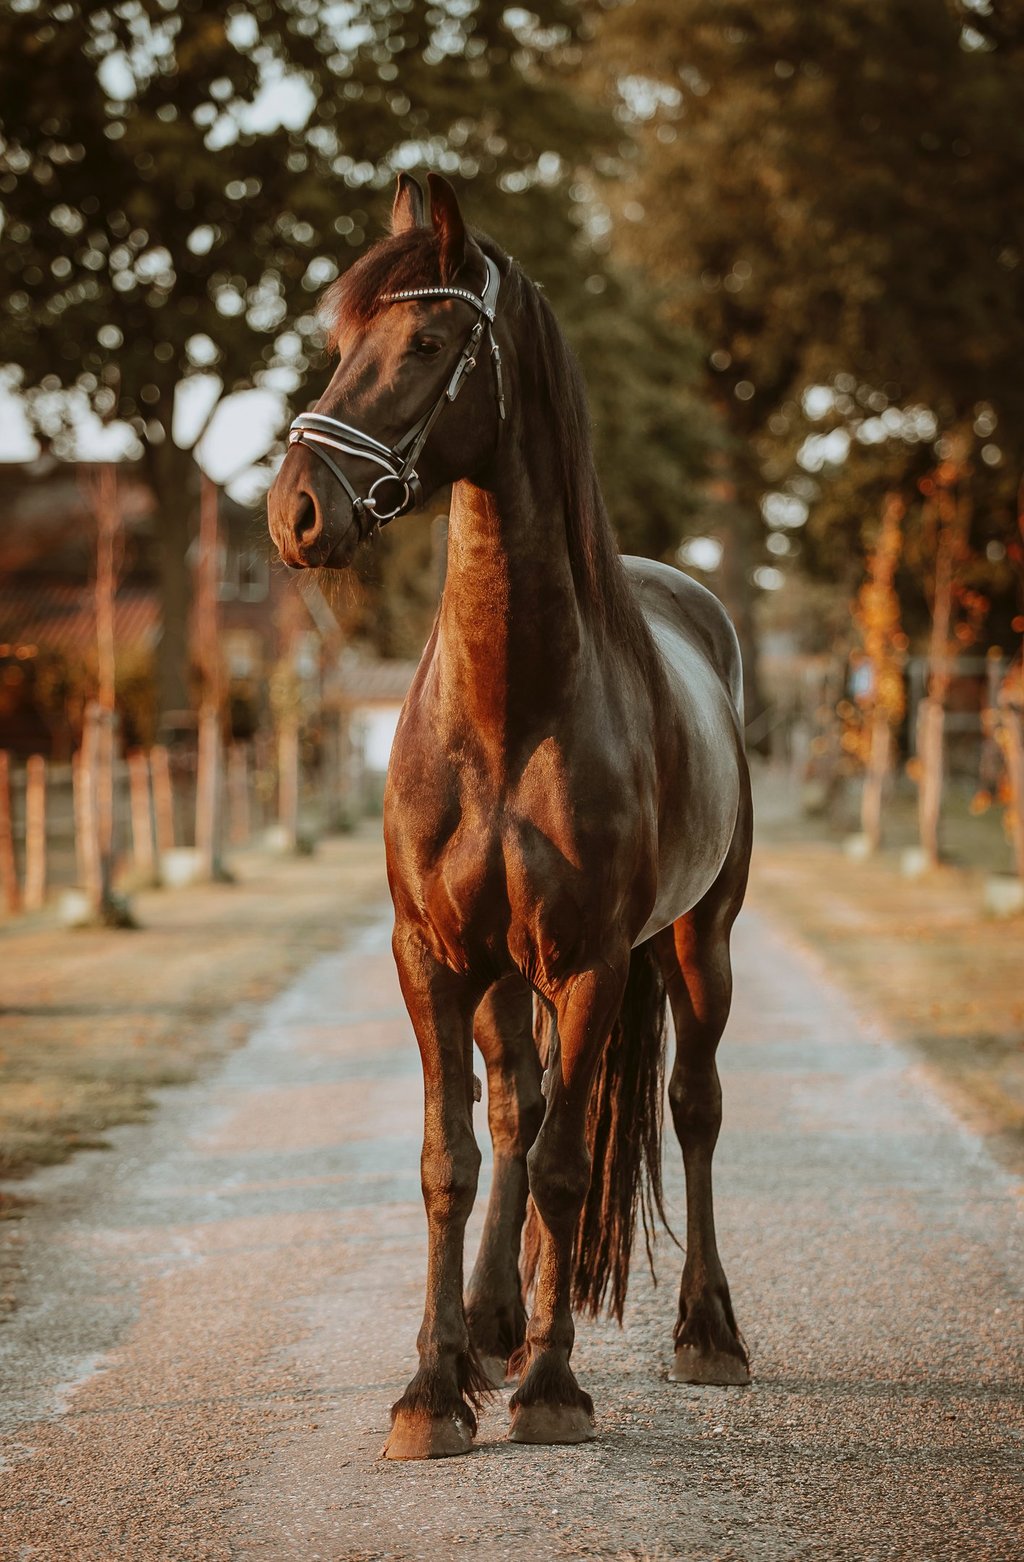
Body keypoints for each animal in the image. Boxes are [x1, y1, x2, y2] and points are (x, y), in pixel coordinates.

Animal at [267, 173, 752, 1460]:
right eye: (341, 340)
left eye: (429, 344)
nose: (296, 511)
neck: (507, 703)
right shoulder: (435, 953)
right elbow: (455, 1154)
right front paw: (433, 1388)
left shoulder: (588, 959)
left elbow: (569, 1165)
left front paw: (550, 1386)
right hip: (503, 974)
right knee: (515, 1104)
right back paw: (493, 1319)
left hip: (698, 942)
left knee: (689, 1108)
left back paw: (706, 1332)